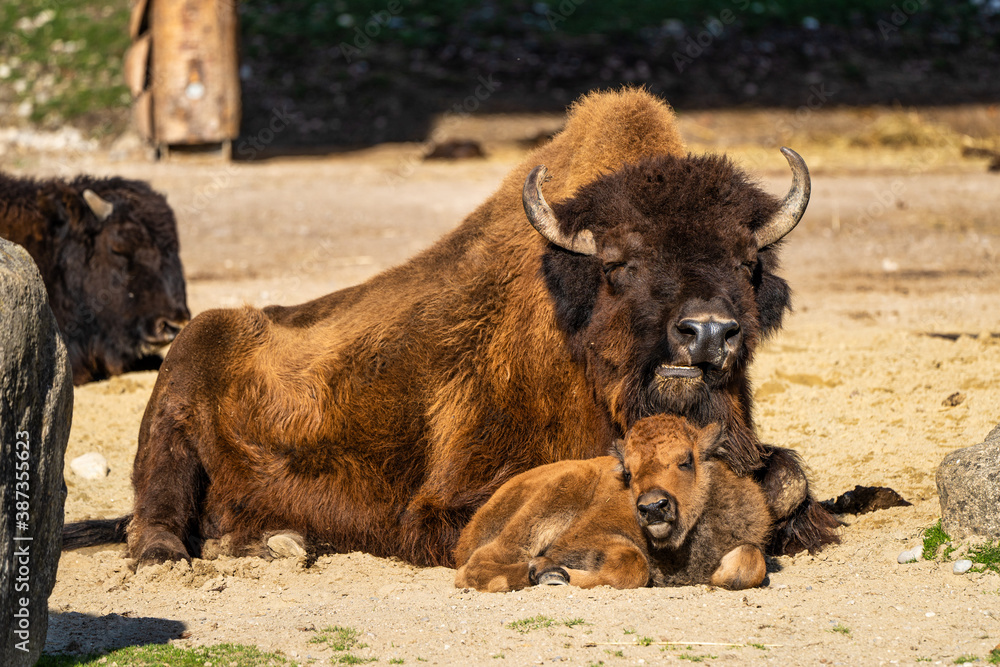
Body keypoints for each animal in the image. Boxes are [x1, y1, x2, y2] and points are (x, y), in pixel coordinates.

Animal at [64, 88, 838, 566]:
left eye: (748, 261)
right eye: (620, 262)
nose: (705, 333)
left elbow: (787, 479)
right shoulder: (448, 499)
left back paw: (278, 541)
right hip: (173, 407)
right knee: (154, 511)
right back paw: (181, 554)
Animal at [454, 414, 772, 591]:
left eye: (686, 461)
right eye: (628, 473)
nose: (653, 508)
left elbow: (749, 563)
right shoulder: (582, 539)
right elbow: (632, 564)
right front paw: (552, 571)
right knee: (478, 564)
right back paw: (545, 573)